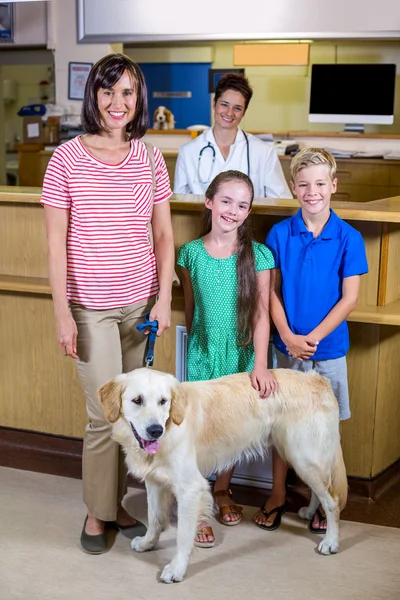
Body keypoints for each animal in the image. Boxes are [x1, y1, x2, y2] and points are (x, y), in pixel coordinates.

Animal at [97, 368, 346, 584]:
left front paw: (176, 569)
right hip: (300, 456)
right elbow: (155, 518)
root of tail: (318, 380)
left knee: (332, 500)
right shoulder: (154, 481)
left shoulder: (191, 488)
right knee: (319, 491)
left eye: (163, 401)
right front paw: (148, 543)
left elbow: (183, 536)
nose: (155, 430)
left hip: (304, 457)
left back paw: (330, 541)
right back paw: (310, 513)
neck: (170, 427)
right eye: (137, 400)